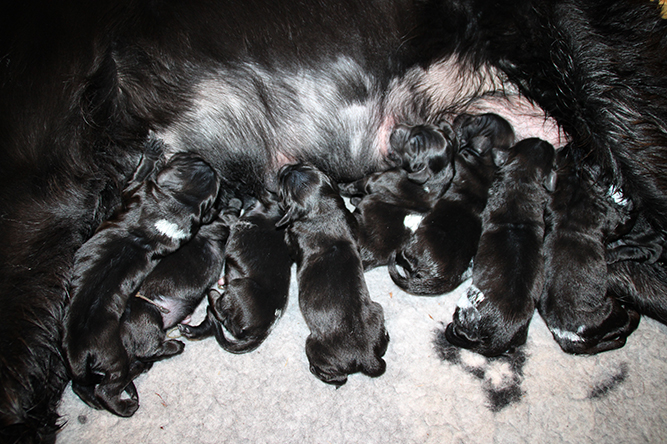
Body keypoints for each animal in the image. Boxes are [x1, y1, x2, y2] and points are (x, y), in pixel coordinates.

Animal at [63, 152, 220, 417]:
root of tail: (79, 353)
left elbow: (136, 177)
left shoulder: (135, 191)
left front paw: (149, 158)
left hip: (112, 360)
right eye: (190, 160)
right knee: (90, 384)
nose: (210, 164)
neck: (173, 204)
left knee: (104, 387)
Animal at [180, 196, 293, 353]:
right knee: (213, 323)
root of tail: (261, 333)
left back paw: (213, 294)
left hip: (239, 285)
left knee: (219, 312)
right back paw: (190, 330)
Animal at [277, 163, 389, 386]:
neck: (322, 210)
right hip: (378, 310)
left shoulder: (292, 238)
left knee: (339, 377)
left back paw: (318, 371)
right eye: (305, 164)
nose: (283, 166)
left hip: (314, 346)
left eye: (283, 185)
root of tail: (367, 357)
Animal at [339, 120, 457, 269]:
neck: (434, 180)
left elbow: (354, 185)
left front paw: (342, 187)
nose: (396, 127)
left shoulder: (372, 180)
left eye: (413, 143)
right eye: (422, 125)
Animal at [538, 148, 641, 354]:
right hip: (611, 310)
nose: (566, 147)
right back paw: (633, 312)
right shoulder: (612, 219)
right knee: (626, 322)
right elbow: (626, 221)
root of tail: (567, 336)